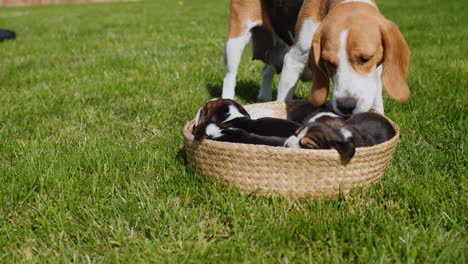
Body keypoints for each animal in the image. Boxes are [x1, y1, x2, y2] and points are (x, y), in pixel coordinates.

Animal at [223, 0, 410, 115]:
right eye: (328, 63)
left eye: (365, 59)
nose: (346, 106)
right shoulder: (293, 60)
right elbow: (284, 98)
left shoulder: (376, 71)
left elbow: (376, 98)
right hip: (236, 38)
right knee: (230, 76)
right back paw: (228, 98)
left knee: (266, 70)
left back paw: (264, 96)